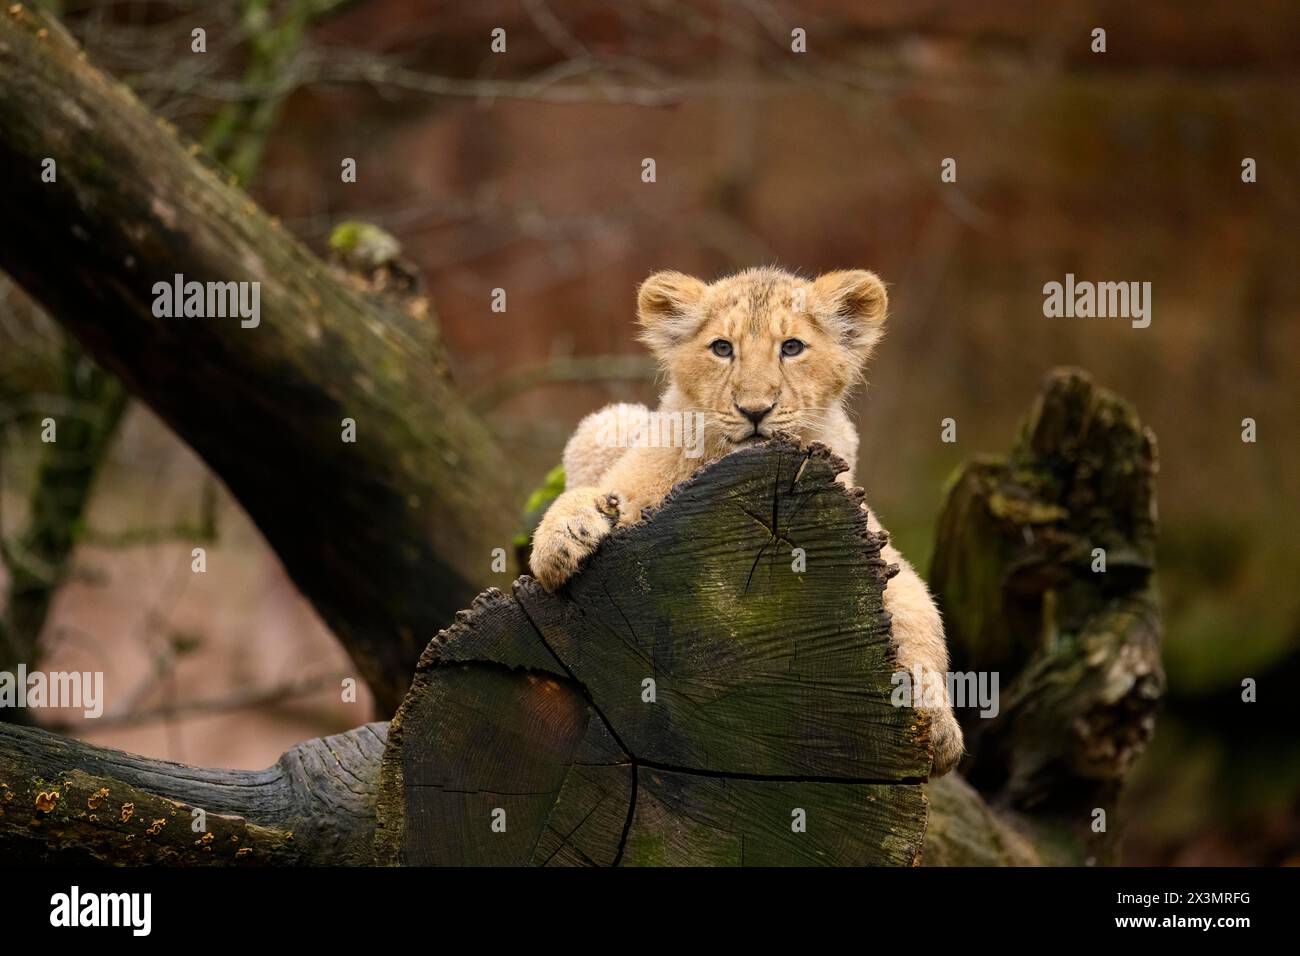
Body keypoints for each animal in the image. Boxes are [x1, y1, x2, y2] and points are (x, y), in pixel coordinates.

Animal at [529, 266, 964, 775]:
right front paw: (563, 540)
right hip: (609, 422)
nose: (755, 410)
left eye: (792, 347)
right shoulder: (631, 476)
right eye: (722, 348)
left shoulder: (876, 546)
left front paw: (938, 727)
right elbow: (589, 499)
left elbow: (921, 615)